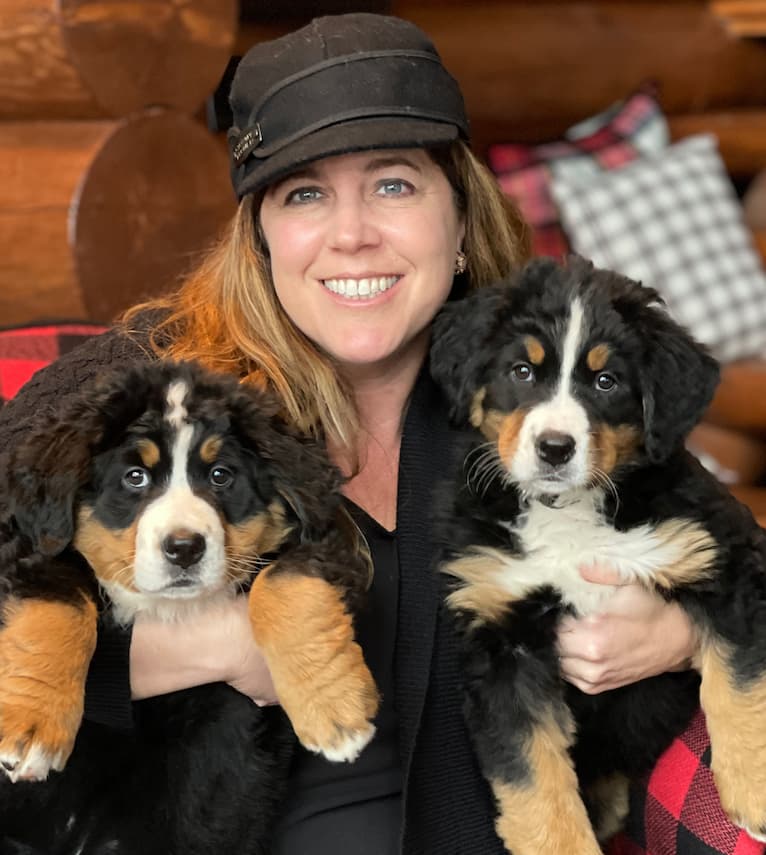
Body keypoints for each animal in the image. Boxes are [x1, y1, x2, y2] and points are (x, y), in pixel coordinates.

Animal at [0, 362, 378, 855]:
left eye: (220, 475)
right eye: (135, 477)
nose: (184, 548)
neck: (166, 606)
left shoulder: (322, 546)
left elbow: (285, 584)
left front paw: (335, 709)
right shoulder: (32, 547)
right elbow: (58, 603)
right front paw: (31, 725)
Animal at [428, 258, 766, 855]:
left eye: (607, 382)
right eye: (521, 371)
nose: (554, 449)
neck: (569, 513)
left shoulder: (722, 553)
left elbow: (741, 678)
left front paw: (754, 789)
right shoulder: (503, 640)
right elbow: (532, 775)